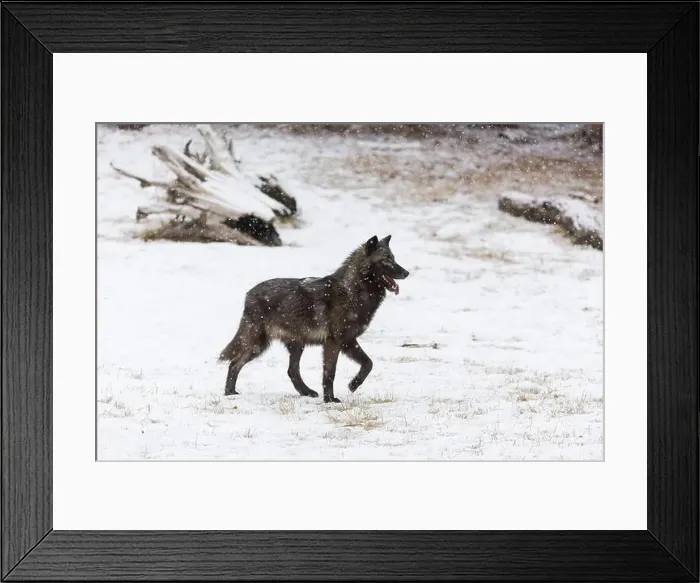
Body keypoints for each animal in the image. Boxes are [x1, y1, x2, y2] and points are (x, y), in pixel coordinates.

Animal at [218, 235, 410, 402]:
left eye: (394, 258)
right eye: (386, 259)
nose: (406, 272)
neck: (353, 291)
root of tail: (249, 294)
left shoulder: (348, 341)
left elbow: (368, 363)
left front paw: (353, 385)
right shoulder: (334, 342)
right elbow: (330, 373)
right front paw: (330, 400)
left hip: (295, 345)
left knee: (291, 371)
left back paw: (307, 392)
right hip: (258, 344)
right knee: (235, 363)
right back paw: (230, 393)